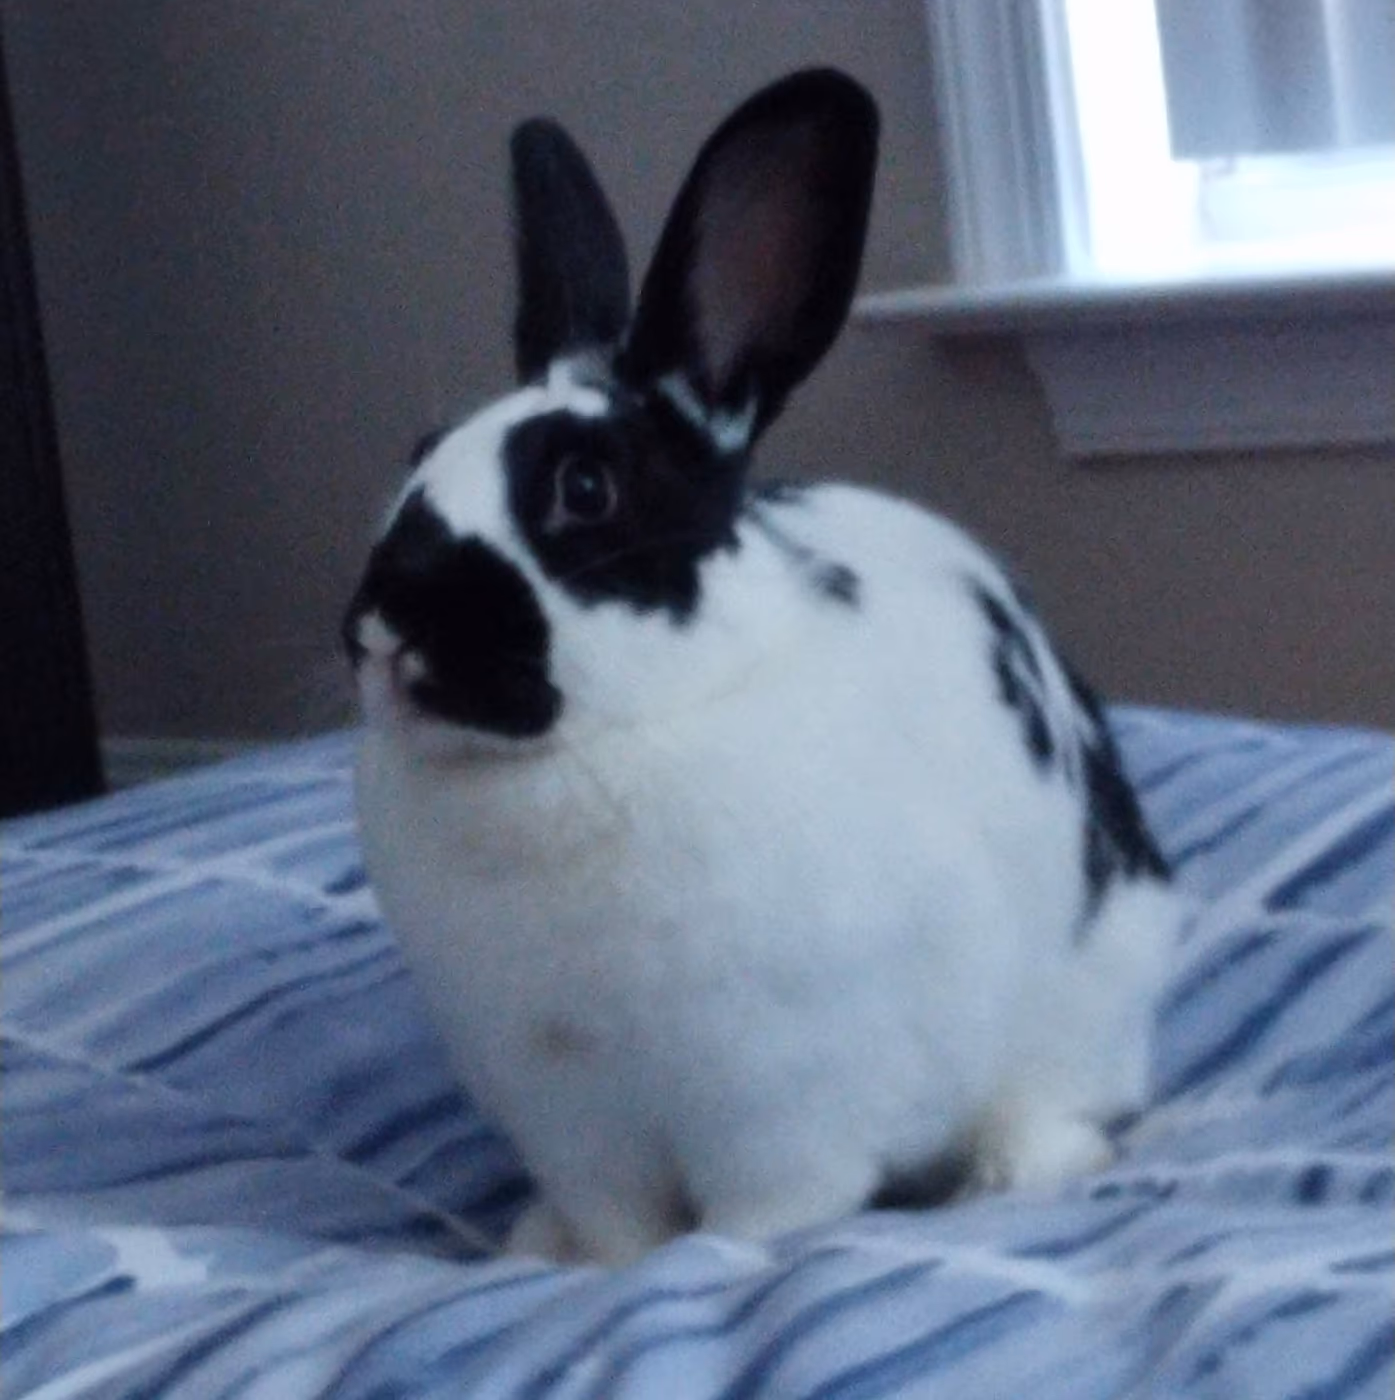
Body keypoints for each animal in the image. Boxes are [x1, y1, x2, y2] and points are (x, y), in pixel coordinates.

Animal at [343, 68, 1182, 1267]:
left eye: (586, 489)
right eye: (418, 456)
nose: (381, 630)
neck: (600, 743)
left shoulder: (778, 1099)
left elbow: (766, 1208)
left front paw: (719, 1257)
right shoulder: (568, 1116)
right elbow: (616, 1222)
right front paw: (596, 1265)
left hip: (1088, 989)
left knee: (1069, 1102)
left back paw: (1008, 1171)